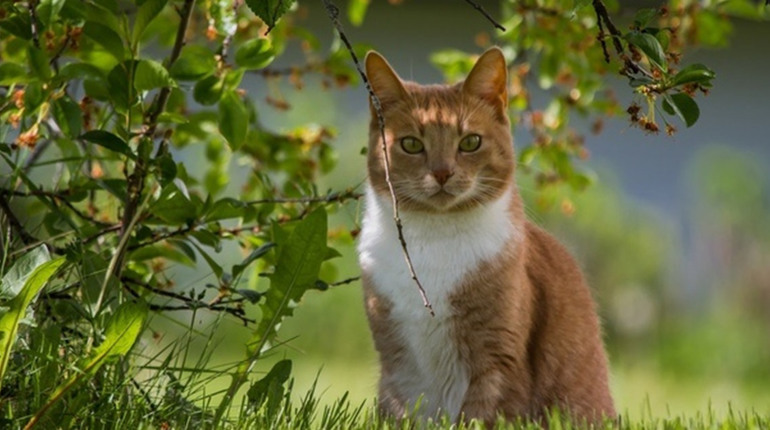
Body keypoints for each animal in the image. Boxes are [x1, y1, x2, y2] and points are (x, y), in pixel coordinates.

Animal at [354, 47, 612, 426]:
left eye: (470, 142)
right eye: (412, 144)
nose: (442, 172)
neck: (434, 240)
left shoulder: (497, 360)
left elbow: (479, 415)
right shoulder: (397, 365)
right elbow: (404, 410)